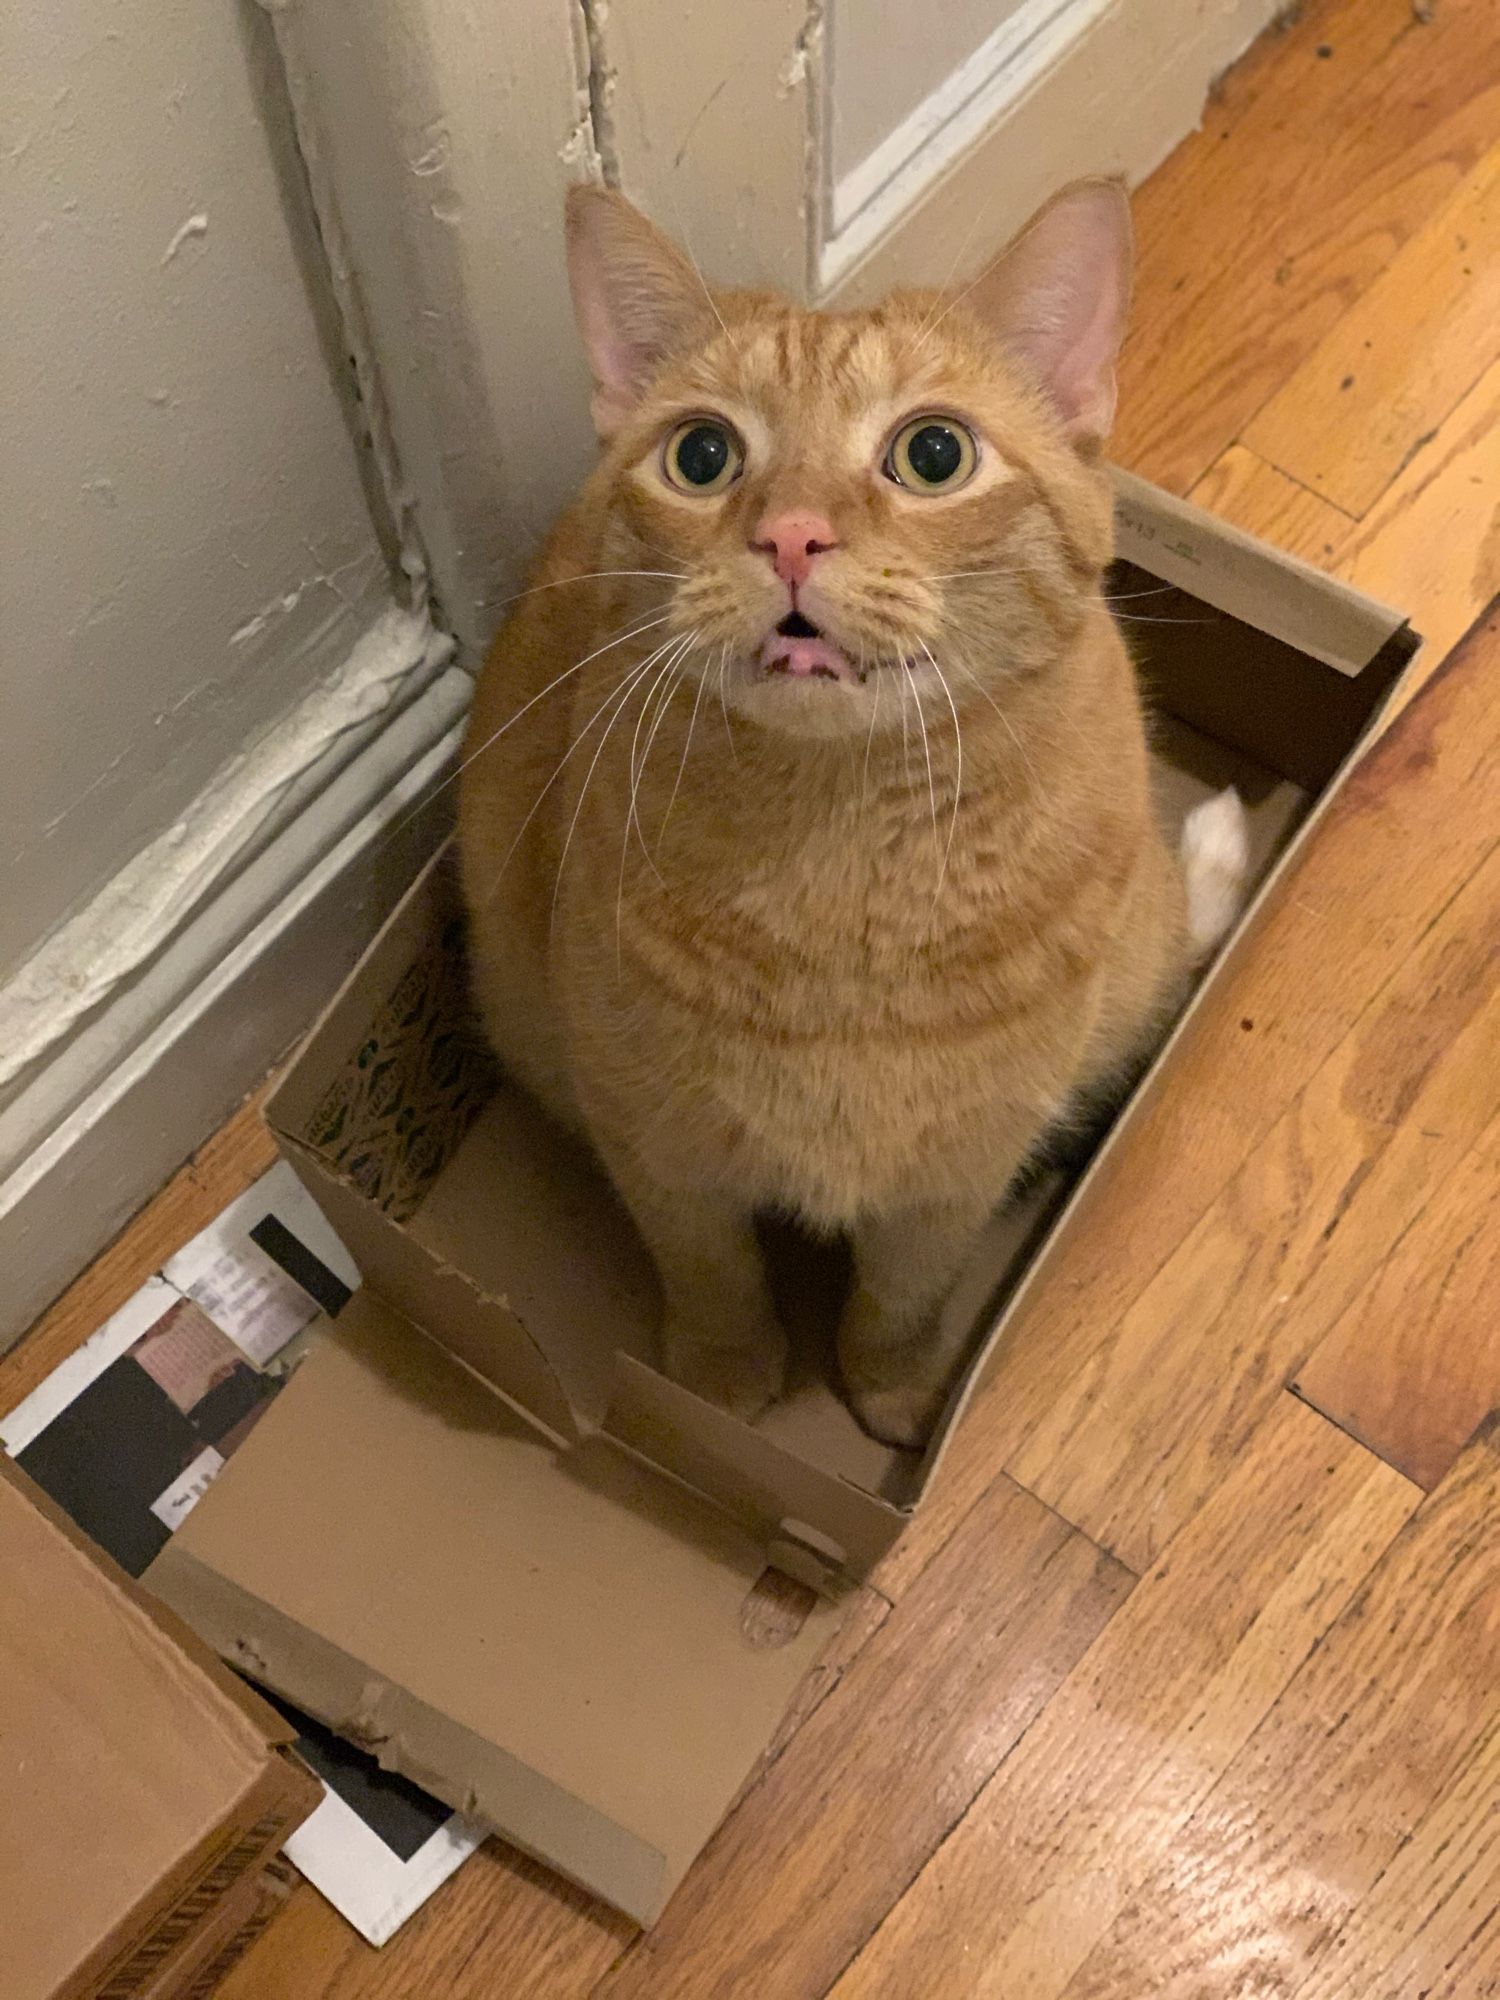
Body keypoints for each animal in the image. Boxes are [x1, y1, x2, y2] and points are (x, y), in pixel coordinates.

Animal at [456, 184, 1248, 1440]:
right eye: (702, 454)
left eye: (933, 453)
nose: (790, 534)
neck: (841, 863)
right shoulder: (651, 1136)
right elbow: (711, 1270)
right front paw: (719, 1385)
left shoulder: (959, 1169)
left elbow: (904, 1296)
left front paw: (896, 1394)